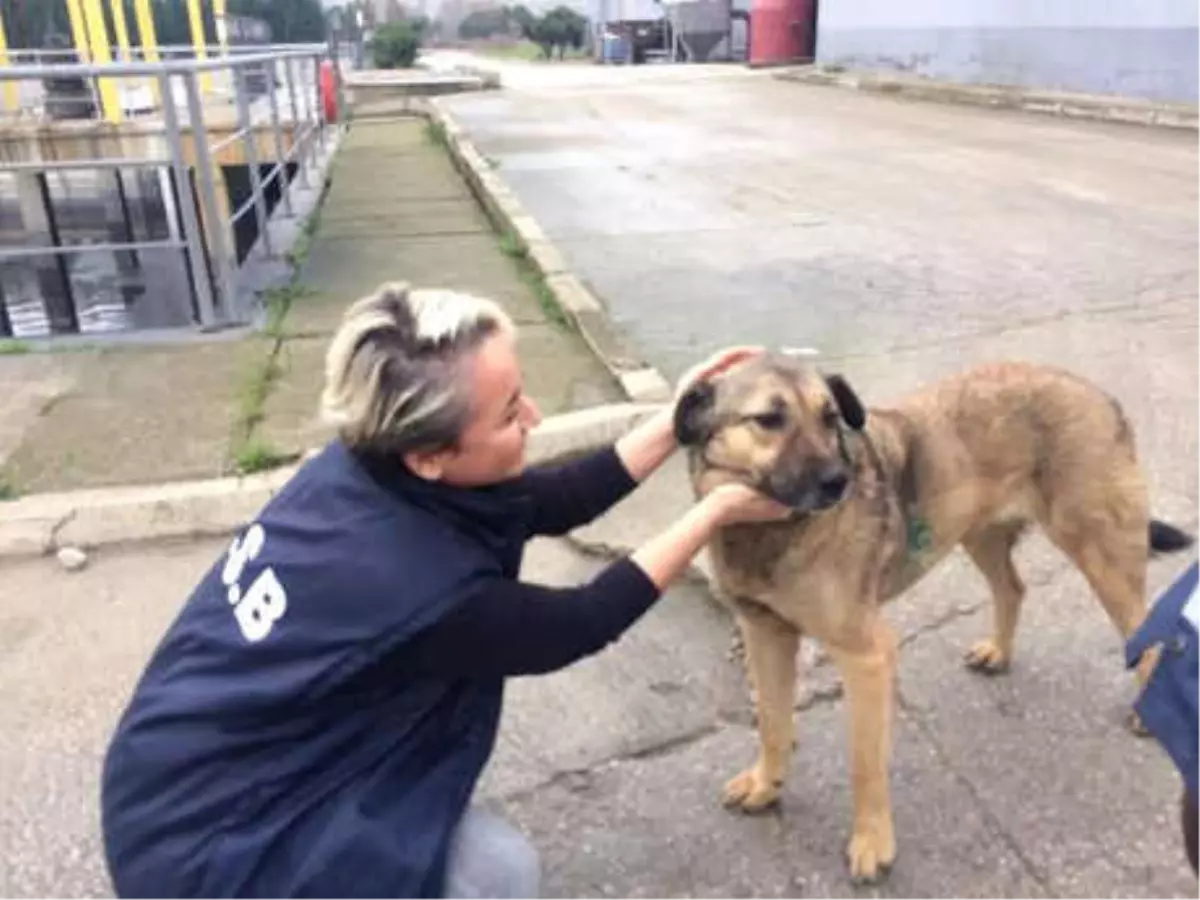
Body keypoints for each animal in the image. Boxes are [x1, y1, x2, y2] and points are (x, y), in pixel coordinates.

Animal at [676, 355, 1190, 883]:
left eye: (829, 417)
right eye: (769, 419)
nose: (840, 481)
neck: (769, 533)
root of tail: (1098, 394)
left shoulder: (867, 657)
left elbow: (864, 763)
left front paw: (872, 841)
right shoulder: (765, 635)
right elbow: (773, 724)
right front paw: (766, 786)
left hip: (1100, 556)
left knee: (1148, 631)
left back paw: (1148, 711)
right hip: (979, 534)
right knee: (1012, 589)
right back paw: (999, 652)